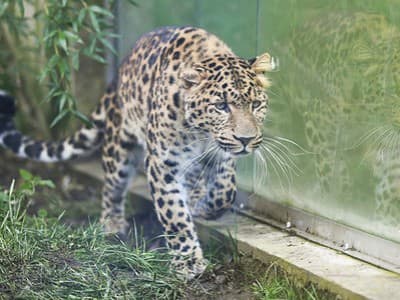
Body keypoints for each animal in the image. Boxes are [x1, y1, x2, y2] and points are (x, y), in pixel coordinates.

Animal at [0, 25, 276, 278]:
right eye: (221, 106)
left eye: (256, 104)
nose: (245, 139)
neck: (202, 134)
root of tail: (116, 76)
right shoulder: (162, 163)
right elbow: (175, 214)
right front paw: (187, 262)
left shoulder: (221, 156)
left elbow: (225, 190)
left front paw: (204, 206)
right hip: (118, 150)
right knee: (112, 188)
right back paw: (112, 223)